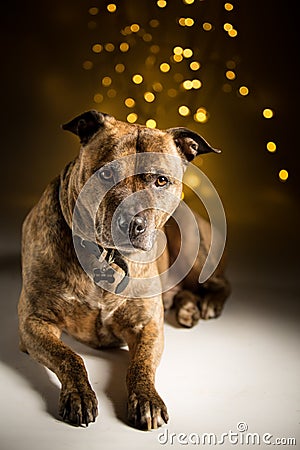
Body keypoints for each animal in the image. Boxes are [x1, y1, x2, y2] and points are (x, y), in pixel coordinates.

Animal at [17, 110, 231, 430]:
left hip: (195, 247)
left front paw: (146, 398)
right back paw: (187, 309)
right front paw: (79, 394)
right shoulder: (34, 322)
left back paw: (207, 305)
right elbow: (69, 356)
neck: (106, 257)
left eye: (161, 180)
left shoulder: (148, 326)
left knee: (219, 283)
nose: (131, 222)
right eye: (106, 174)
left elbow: (140, 364)